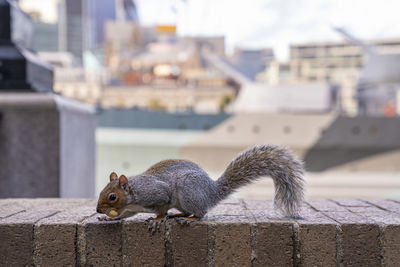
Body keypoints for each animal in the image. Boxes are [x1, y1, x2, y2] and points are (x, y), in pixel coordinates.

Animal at [95, 144, 304, 232]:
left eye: (112, 197)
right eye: (102, 191)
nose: (97, 209)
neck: (133, 193)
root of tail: (211, 192)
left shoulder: (158, 194)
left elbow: (162, 207)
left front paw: (157, 219)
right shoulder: (130, 208)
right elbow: (124, 215)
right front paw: (107, 218)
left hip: (188, 191)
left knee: (202, 213)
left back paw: (189, 219)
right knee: (190, 211)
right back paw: (179, 215)